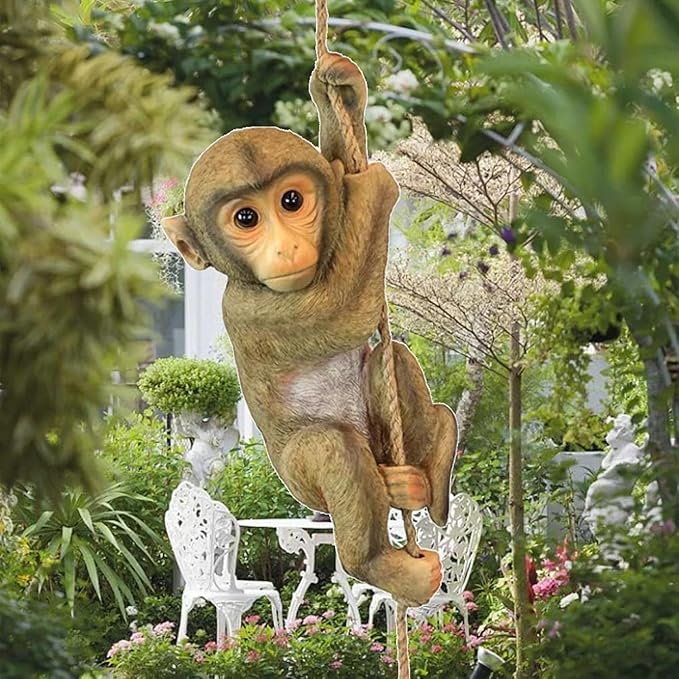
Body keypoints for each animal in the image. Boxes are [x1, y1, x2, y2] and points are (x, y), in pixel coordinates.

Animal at [162, 52, 458, 607]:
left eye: (292, 202)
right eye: (247, 217)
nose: (286, 247)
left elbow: (338, 178)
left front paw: (339, 91)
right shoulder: (251, 311)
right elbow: (345, 309)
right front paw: (374, 187)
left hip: (381, 441)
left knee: (390, 359)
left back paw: (427, 469)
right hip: (301, 478)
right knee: (329, 448)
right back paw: (380, 563)